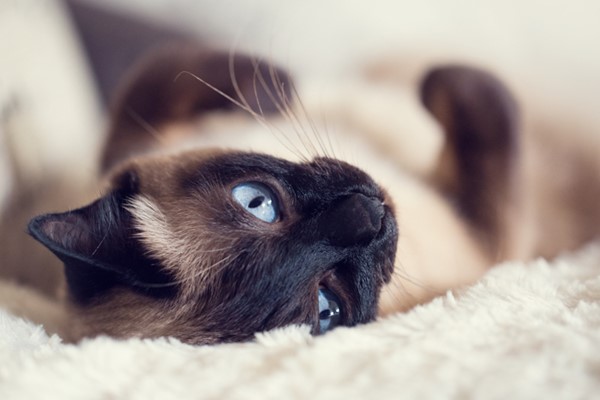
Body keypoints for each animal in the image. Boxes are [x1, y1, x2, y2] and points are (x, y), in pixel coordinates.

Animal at [12, 44, 596, 344]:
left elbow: (164, 72)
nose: (368, 216)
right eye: (326, 305)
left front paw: (274, 85)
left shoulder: (129, 138)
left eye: (257, 203)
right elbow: (475, 97)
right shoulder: (492, 234)